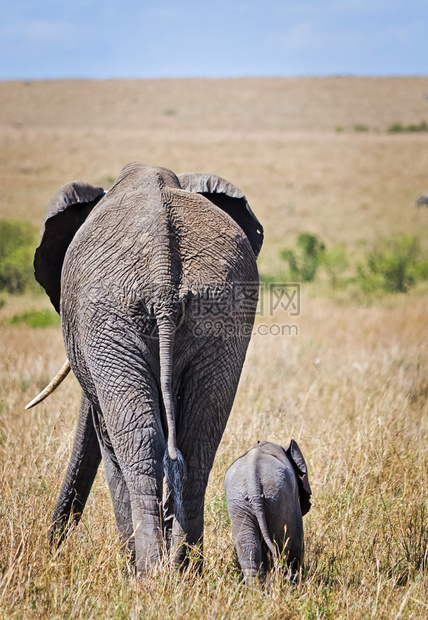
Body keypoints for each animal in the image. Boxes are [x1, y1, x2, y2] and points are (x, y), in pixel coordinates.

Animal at [29, 162, 260, 572]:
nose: (50, 550)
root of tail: (165, 279)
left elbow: (106, 436)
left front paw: (130, 566)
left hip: (109, 320)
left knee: (137, 440)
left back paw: (149, 572)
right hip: (223, 311)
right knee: (198, 439)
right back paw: (183, 570)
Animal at [224, 438, 310, 584]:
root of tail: (252, 482)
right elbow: (296, 544)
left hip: (238, 502)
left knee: (249, 549)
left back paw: (255, 589)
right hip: (278, 497)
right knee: (283, 547)